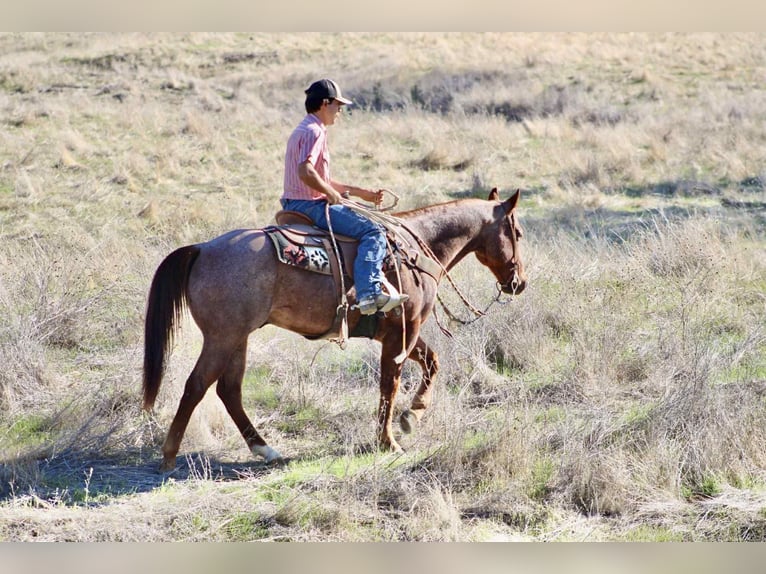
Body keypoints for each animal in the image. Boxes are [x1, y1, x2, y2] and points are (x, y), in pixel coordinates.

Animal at [142, 188, 526, 472]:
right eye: (518, 233)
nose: (519, 282)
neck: (418, 248)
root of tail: (202, 248)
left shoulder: (402, 332)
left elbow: (431, 363)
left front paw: (412, 415)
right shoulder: (404, 329)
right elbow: (390, 384)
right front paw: (389, 440)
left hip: (238, 338)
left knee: (229, 390)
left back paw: (265, 449)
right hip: (222, 338)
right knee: (197, 385)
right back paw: (169, 455)